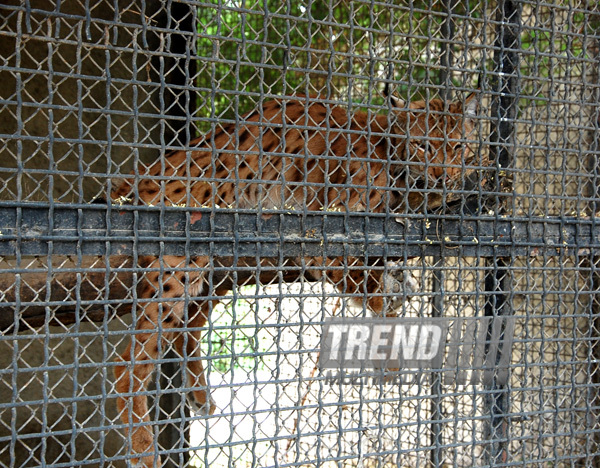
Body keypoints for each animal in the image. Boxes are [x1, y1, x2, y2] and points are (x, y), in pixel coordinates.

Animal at [112, 87, 478, 464]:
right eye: (423, 146)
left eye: (459, 147)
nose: (443, 177)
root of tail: (152, 171)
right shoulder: (320, 230)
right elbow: (360, 282)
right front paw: (385, 315)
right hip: (184, 262)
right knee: (127, 364)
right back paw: (142, 447)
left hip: (217, 262)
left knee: (187, 331)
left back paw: (199, 394)